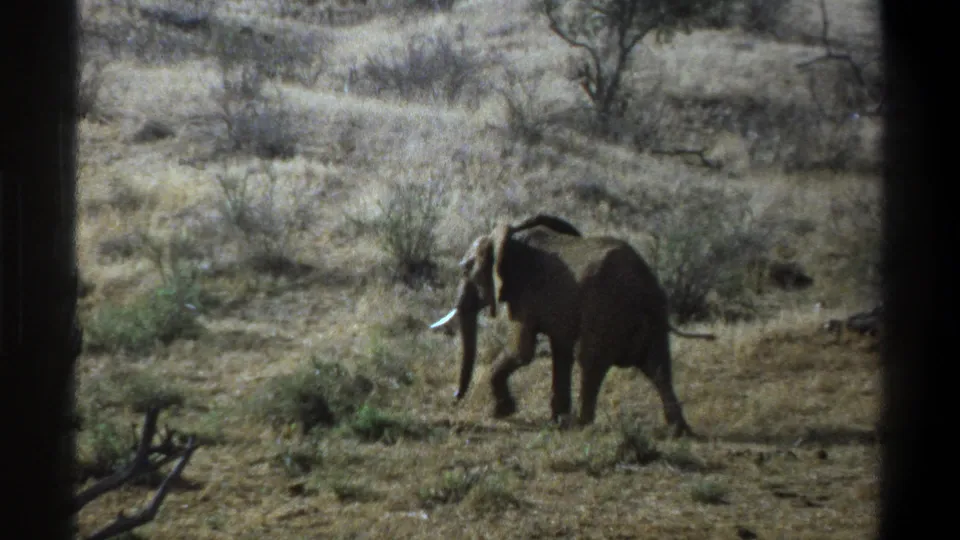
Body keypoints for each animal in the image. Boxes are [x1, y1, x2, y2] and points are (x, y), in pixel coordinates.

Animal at [430, 214, 716, 437]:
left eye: (466, 269)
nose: (454, 397)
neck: (509, 242)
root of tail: (645, 285)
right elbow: (560, 351)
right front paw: (554, 419)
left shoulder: (526, 294)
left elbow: (523, 350)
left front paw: (503, 412)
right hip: (651, 317)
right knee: (658, 367)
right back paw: (678, 431)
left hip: (605, 309)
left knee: (590, 359)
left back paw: (580, 424)